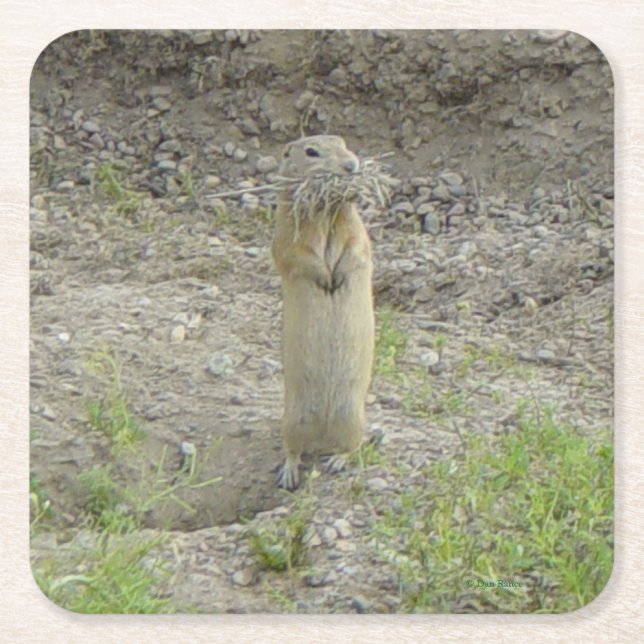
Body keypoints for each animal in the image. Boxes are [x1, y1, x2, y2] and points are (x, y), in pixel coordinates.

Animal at [272, 135, 374, 490]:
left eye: (344, 142)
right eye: (311, 152)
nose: (351, 165)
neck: (327, 211)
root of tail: (322, 436)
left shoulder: (356, 228)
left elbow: (357, 248)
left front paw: (337, 277)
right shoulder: (287, 231)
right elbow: (298, 255)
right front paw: (325, 278)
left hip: (353, 417)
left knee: (353, 446)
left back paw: (336, 461)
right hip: (292, 418)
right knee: (292, 448)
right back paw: (289, 474)